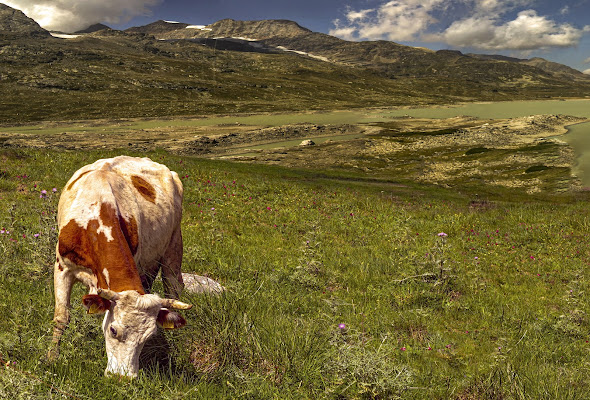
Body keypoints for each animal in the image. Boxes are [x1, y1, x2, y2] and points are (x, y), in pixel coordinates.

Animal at [49, 155, 192, 378]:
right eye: (113, 330)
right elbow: (61, 317)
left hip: (173, 245)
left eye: (148, 337)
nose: (123, 377)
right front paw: (51, 358)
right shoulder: (62, 268)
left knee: (173, 286)